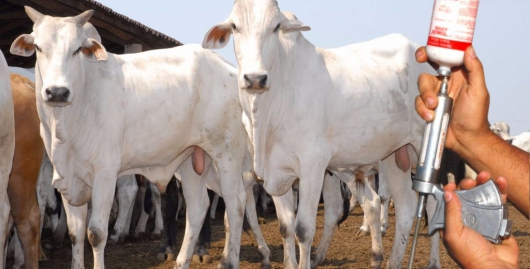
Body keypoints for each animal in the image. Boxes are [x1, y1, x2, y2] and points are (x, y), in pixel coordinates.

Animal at [10, 6, 250, 268]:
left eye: (77, 49)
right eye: (39, 47)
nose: (57, 92)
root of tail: (227, 67)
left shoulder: (105, 174)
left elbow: (96, 234)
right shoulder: (67, 179)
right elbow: (76, 233)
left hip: (227, 155)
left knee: (236, 202)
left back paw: (228, 260)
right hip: (192, 161)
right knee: (198, 208)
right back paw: (181, 261)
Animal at [201, 1, 434, 266]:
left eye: (276, 27)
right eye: (234, 26)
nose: (255, 78)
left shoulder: (312, 166)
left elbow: (303, 230)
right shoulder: (276, 172)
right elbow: (285, 226)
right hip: (394, 156)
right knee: (405, 209)